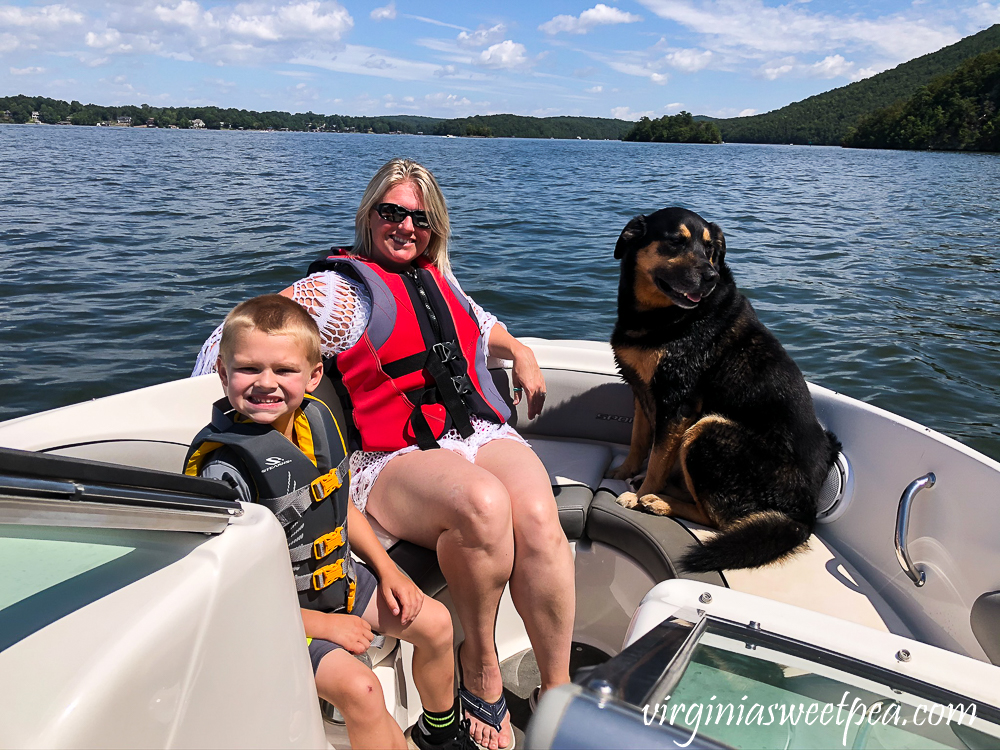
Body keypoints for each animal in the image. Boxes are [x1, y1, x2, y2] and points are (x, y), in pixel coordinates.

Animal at [604, 209, 840, 572]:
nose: (711, 277)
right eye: (676, 241)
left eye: (710, 249)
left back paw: (658, 501)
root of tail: (803, 516)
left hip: (708, 431)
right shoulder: (642, 392)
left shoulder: (677, 403)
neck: (663, 316)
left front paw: (640, 492)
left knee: (717, 518)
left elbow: (657, 458)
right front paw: (624, 471)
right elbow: (638, 441)